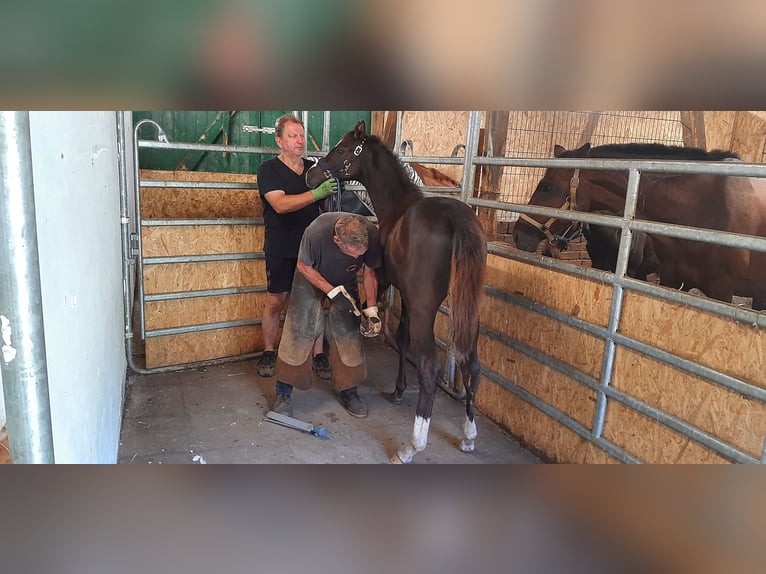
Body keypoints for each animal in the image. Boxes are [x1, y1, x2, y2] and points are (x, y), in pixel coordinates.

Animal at [304, 120, 486, 464]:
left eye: (342, 150)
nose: (311, 175)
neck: (398, 207)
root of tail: (457, 219)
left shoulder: (393, 285)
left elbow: (395, 333)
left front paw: (398, 389)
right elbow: (400, 338)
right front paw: (399, 390)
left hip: (426, 311)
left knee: (429, 367)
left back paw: (411, 446)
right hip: (469, 309)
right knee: (472, 363)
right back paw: (469, 436)